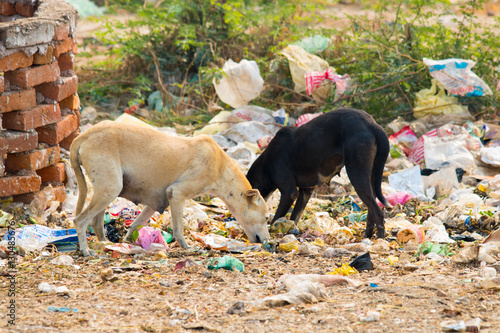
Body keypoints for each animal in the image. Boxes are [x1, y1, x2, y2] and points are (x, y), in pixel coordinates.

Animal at [70, 120, 270, 255]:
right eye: (266, 218)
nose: (269, 243)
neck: (220, 165)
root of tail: (84, 135)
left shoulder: (155, 202)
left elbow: (136, 224)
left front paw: (129, 243)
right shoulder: (177, 194)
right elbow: (178, 229)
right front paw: (187, 247)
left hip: (106, 192)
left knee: (96, 223)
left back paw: (105, 245)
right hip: (110, 189)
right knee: (79, 221)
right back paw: (86, 251)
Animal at [248, 107, 392, 237]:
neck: (265, 164)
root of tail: (373, 124)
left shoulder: (289, 192)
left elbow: (277, 218)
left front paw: (272, 232)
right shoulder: (306, 191)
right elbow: (295, 216)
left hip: (357, 174)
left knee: (378, 212)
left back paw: (379, 239)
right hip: (371, 175)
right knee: (372, 210)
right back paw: (367, 236)